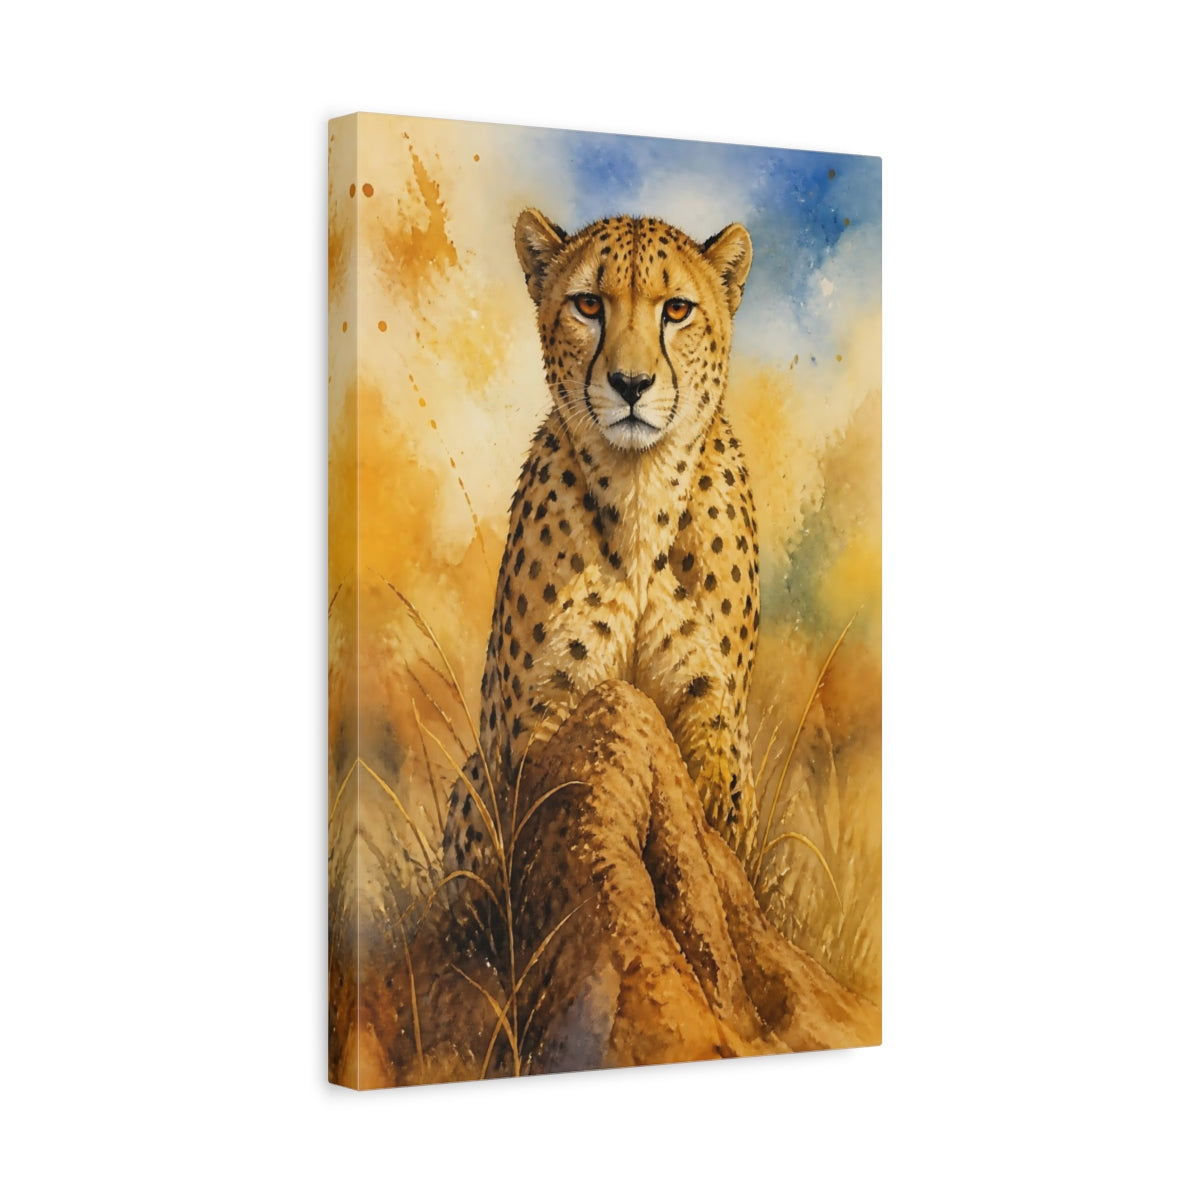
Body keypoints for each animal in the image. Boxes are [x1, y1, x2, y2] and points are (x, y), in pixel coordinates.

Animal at [443, 208, 762, 889]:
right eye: (588, 304)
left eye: (677, 310)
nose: (631, 383)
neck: (640, 489)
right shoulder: (548, 714)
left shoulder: (712, 720)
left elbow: (714, 836)